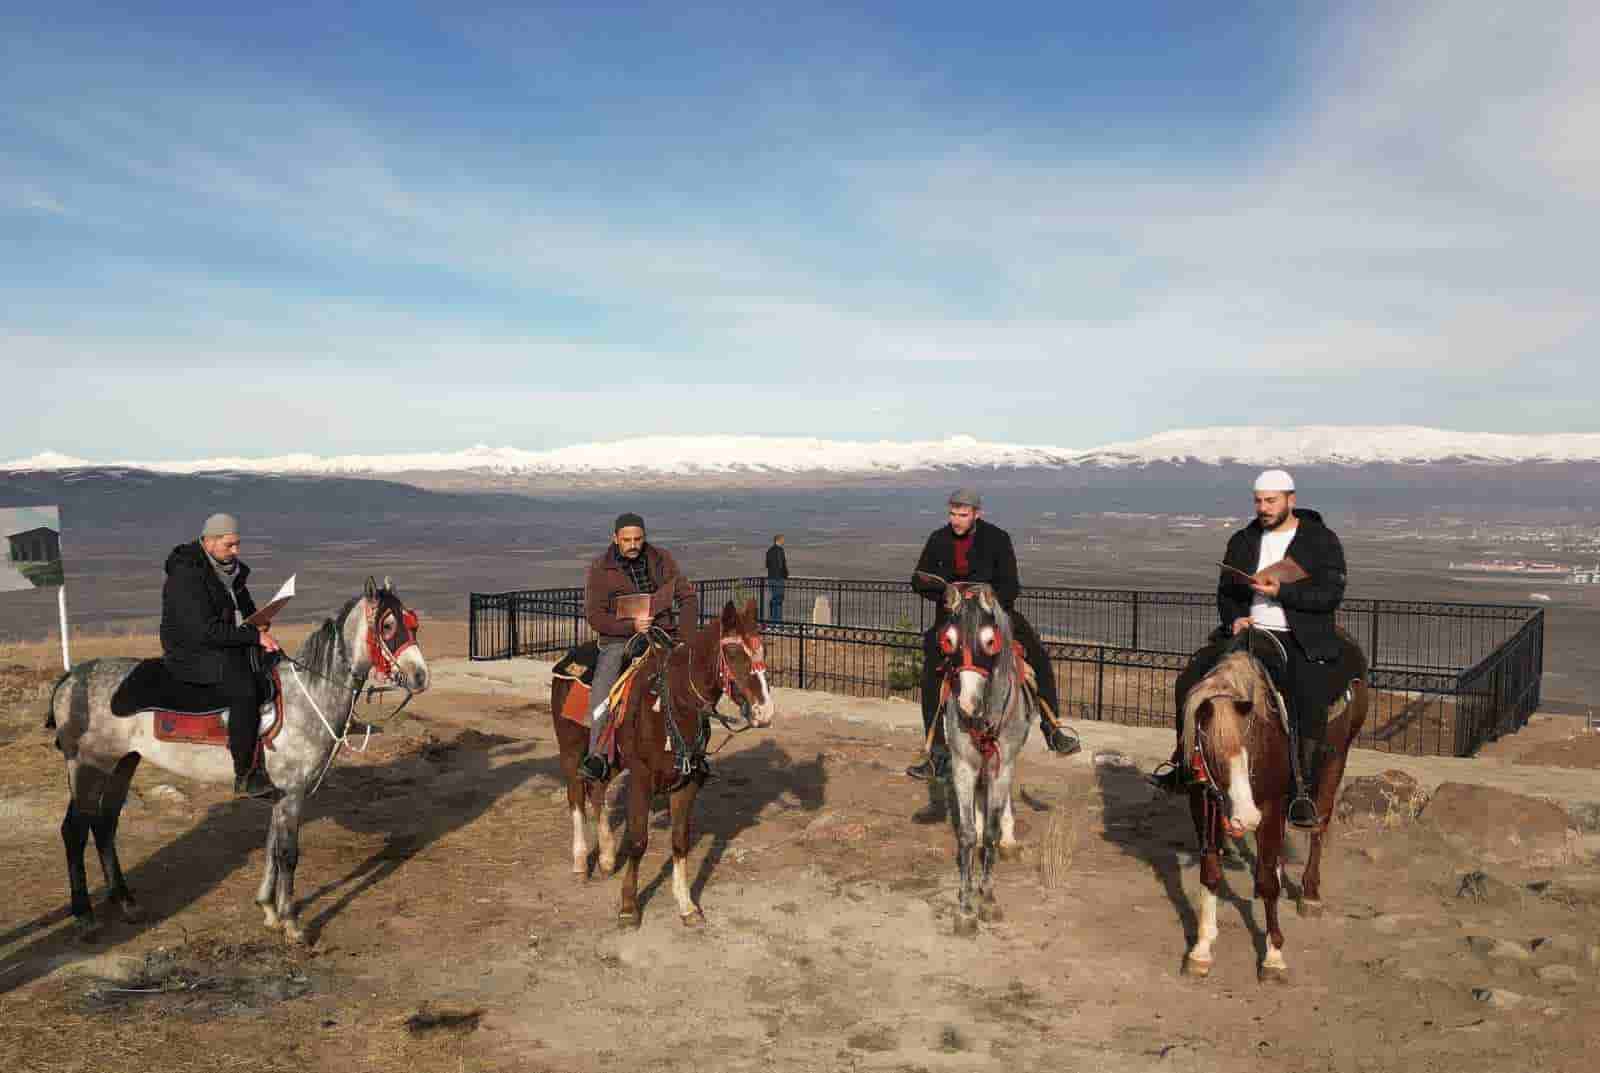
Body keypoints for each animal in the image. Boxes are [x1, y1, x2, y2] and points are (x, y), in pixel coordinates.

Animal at [46, 578, 428, 940]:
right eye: (388, 625)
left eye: (413, 622)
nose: (420, 676)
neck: (309, 693)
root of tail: (70, 678)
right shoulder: (292, 793)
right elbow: (288, 855)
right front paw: (291, 923)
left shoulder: (280, 795)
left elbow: (272, 848)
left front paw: (269, 911)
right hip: (90, 767)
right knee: (74, 831)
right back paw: (85, 917)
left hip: (123, 764)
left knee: (104, 824)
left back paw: (125, 901)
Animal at [550, 601, 774, 927]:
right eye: (733, 652)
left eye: (763, 650)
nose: (765, 711)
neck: (673, 703)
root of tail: (568, 659)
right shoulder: (641, 779)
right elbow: (638, 841)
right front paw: (629, 906)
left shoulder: (687, 783)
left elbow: (680, 841)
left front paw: (687, 905)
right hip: (570, 751)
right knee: (576, 797)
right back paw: (581, 863)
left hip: (610, 759)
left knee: (598, 791)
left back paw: (606, 857)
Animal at [1171, 630, 1369, 985]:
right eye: (1213, 754)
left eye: (1251, 745)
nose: (1246, 819)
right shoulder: (1201, 799)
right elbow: (1211, 871)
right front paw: (1201, 949)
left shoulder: (1272, 804)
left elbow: (1267, 882)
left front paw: (1274, 956)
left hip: (1335, 761)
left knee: (1319, 825)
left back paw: (1310, 894)